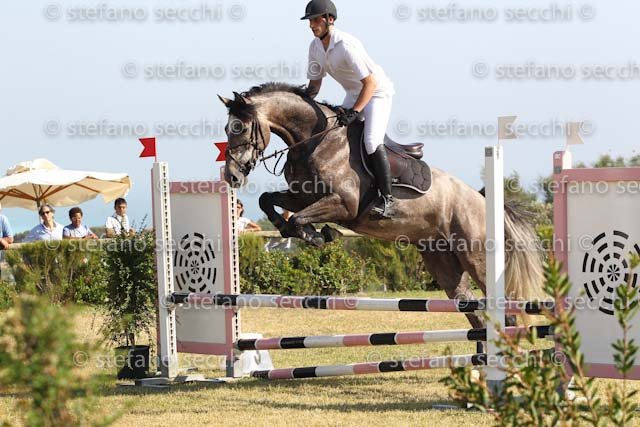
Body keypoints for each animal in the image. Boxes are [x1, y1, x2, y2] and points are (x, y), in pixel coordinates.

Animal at [218, 82, 545, 328]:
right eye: (227, 129)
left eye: (240, 127)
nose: (231, 176)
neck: (314, 140)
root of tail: (482, 200)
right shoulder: (303, 196)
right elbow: (269, 201)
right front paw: (305, 232)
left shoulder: (343, 204)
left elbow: (299, 219)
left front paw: (320, 235)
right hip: (442, 261)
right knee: (471, 309)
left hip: (476, 257)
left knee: (504, 310)